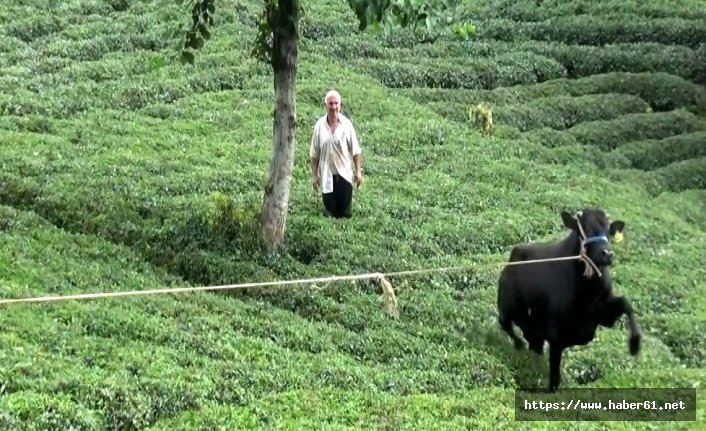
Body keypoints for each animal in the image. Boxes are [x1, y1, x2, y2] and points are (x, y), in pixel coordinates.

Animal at [496, 208, 640, 392]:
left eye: (609, 230)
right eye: (584, 229)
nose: (607, 254)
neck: (587, 294)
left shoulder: (603, 317)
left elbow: (625, 303)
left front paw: (635, 344)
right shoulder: (556, 336)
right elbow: (554, 378)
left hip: (533, 329)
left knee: (533, 346)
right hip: (506, 307)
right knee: (505, 324)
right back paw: (519, 346)